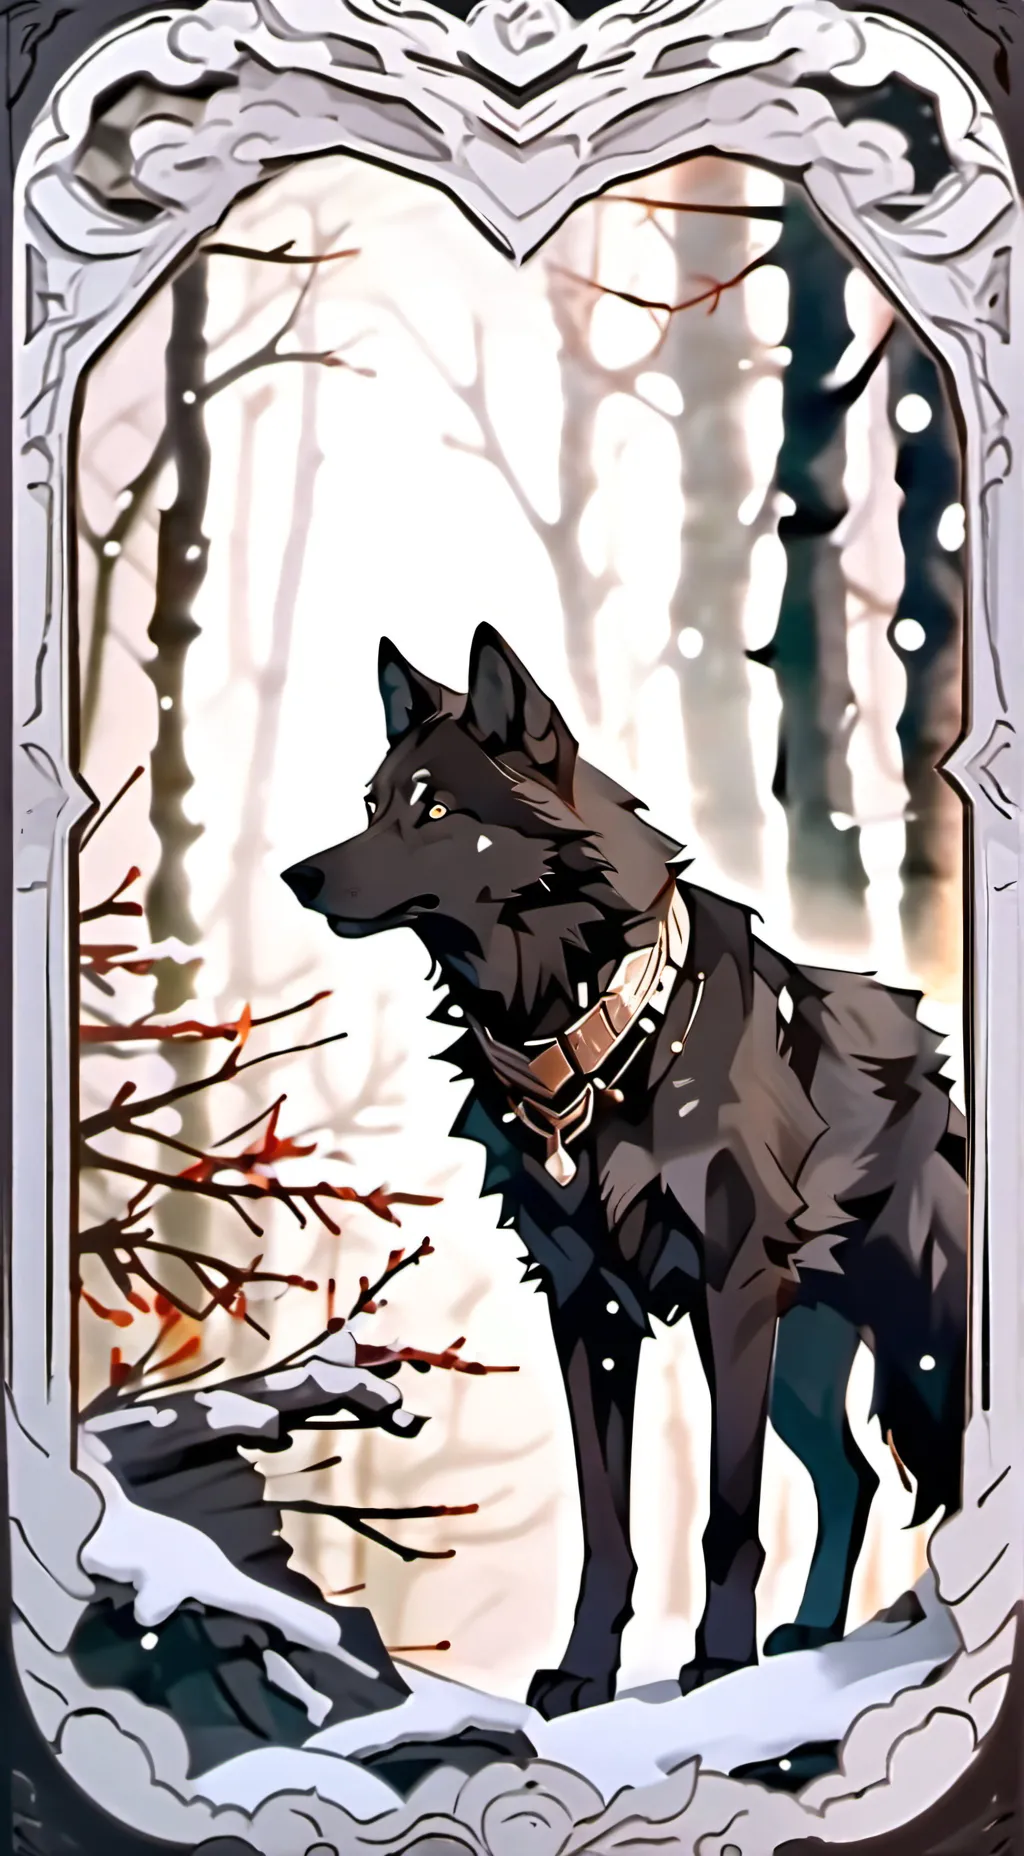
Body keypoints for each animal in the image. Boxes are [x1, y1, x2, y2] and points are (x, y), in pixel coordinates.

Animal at [282, 624, 967, 1719]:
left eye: (435, 807)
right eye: (372, 804)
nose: (298, 876)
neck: (598, 1040)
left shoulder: (732, 1296)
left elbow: (727, 1512)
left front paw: (721, 1663)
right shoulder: (586, 1306)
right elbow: (606, 1522)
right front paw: (583, 1672)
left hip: (914, 1341)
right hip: (804, 1367)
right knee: (851, 1477)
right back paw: (815, 1632)